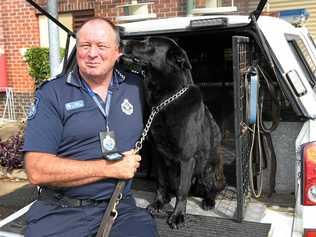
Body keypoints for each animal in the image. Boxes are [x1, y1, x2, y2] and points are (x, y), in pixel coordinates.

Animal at [123, 36, 225, 228]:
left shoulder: (186, 158)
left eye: (148, 44)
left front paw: (177, 215)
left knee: (212, 188)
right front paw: (158, 203)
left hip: (207, 170)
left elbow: (182, 191)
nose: (122, 42)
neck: (165, 100)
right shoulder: (158, 155)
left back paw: (208, 201)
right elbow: (161, 183)